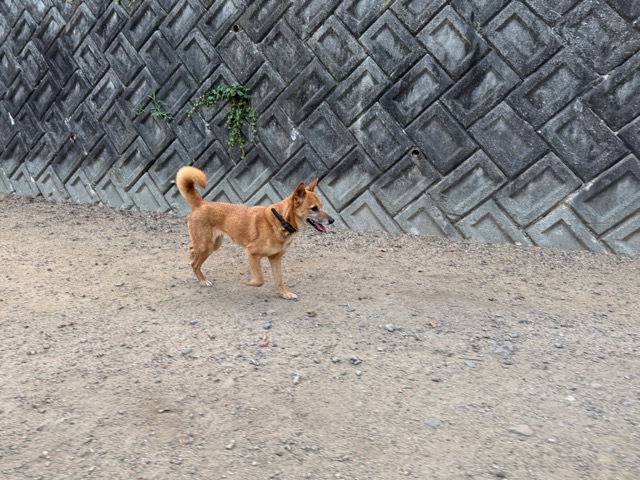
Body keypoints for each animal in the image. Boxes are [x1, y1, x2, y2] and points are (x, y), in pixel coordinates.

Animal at [176, 166, 334, 299]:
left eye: (321, 206)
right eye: (314, 208)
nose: (332, 220)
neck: (281, 220)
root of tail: (201, 203)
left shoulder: (275, 258)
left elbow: (279, 279)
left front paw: (285, 294)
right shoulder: (252, 253)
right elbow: (260, 280)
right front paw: (249, 283)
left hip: (213, 244)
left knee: (192, 250)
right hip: (207, 246)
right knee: (195, 264)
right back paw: (203, 281)